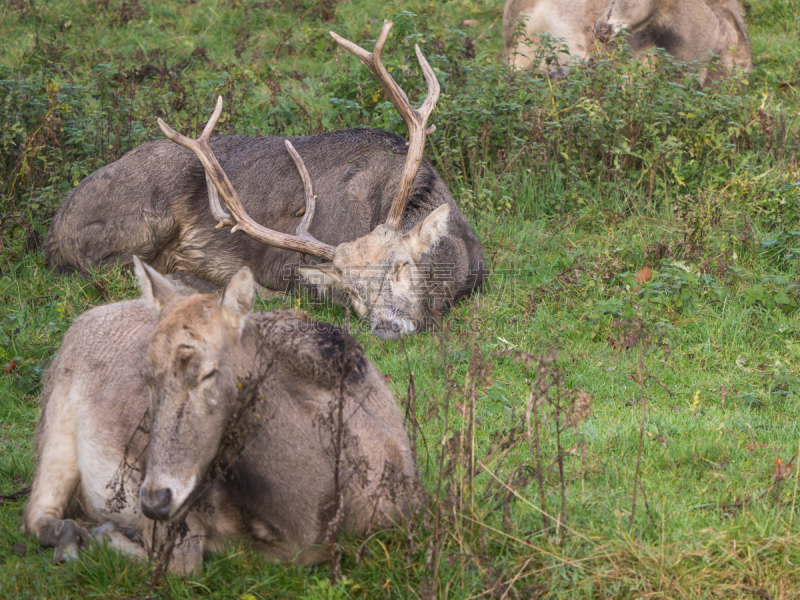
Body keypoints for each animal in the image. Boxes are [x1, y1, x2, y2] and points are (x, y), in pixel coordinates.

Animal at [21, 255, 422, 576]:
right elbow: (183, 564)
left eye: (208, 372)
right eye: (145, 374)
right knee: (38, 515)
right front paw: (106, 535)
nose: (154, 500)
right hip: (54, 424)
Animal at [47, 21, 484, 340]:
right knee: (106, 270)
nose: (387, 328)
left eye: (401, 266)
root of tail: (53, 231)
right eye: (350, 292)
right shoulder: (283, 265)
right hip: (138, 223)